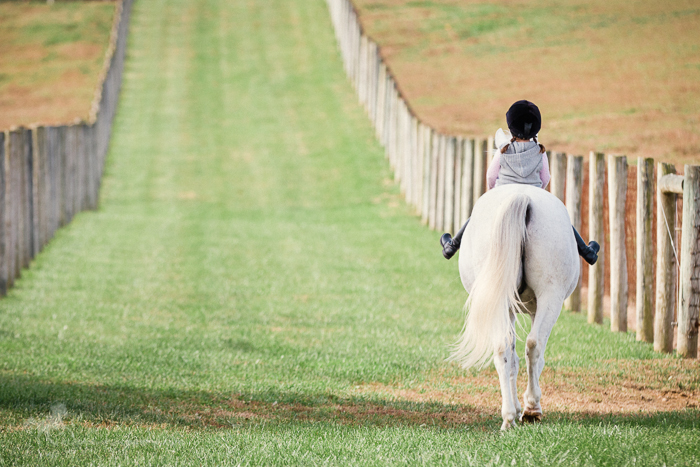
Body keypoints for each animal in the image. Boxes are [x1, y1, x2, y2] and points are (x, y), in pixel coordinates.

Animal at [454, 184, 580, 432]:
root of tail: (521, 196)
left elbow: (511, 358)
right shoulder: (534, 308)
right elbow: (532, 357)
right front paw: (527, 406)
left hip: (501, 301)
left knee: (503, 347)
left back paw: (509, 416)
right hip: (550, 296)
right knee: (534, 345)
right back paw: (532, 408)